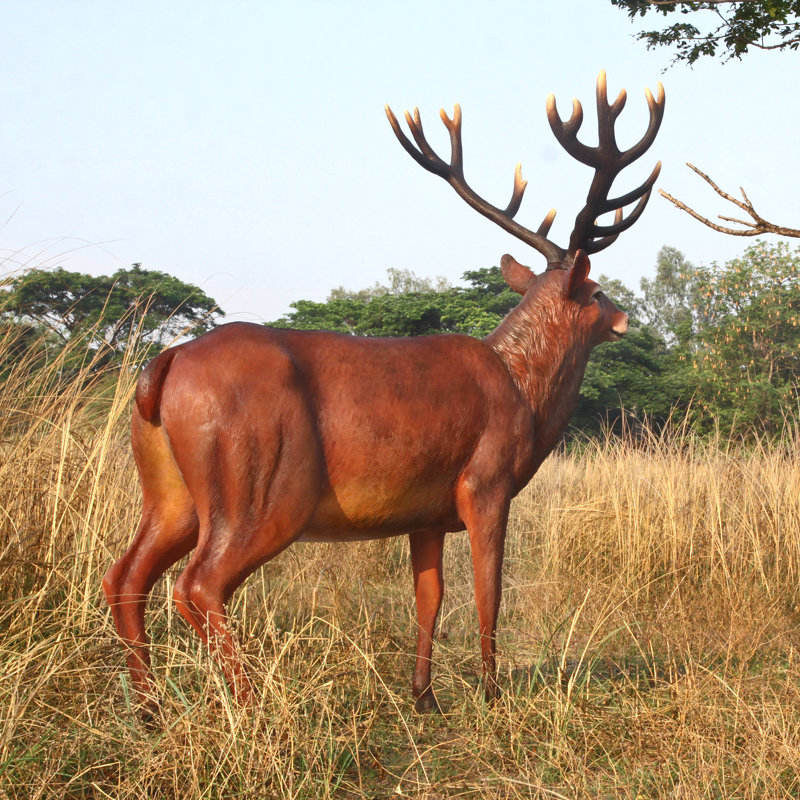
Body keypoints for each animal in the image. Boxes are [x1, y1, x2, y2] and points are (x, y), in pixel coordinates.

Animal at [102, 71, 664, 718]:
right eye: (596, 291)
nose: (623, 319)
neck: (524, 393)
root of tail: (164, 364)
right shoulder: (485, 481)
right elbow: (488, 593)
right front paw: (492, 696)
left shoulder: (426, 510)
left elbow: (430, 597)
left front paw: (424, 696)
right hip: (263, 480)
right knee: (198, 583)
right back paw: (252, 707)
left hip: (172, 490)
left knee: (126, 574)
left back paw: (148, 708)